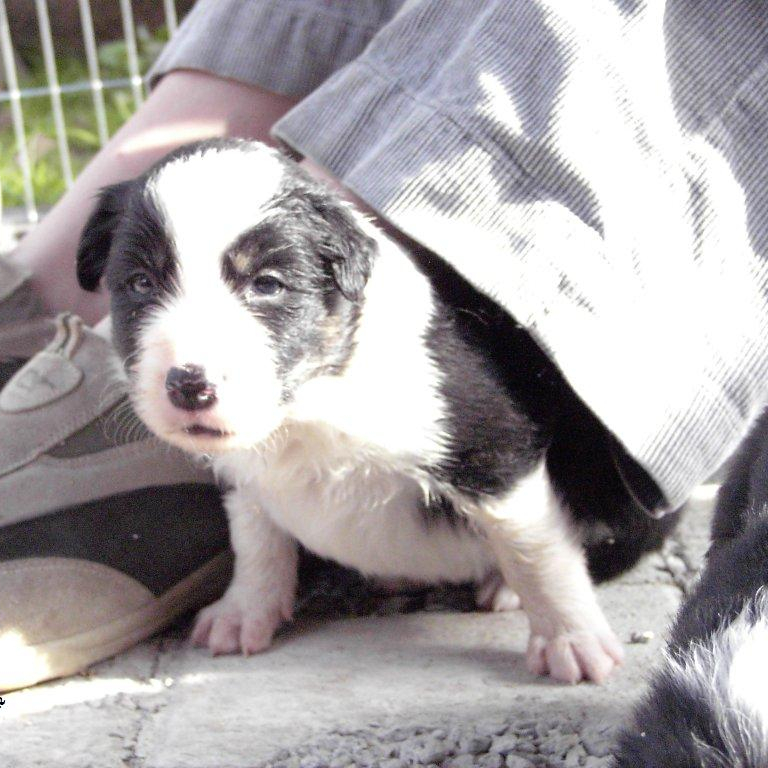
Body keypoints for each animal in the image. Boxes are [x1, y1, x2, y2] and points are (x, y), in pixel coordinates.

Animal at [76, 138, 678, 684]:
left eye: (267, 284)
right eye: (140, 282)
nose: (189, 385)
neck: (311, 404)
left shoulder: (493, 445)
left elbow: (534, 550)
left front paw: (571, 641)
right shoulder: (244, 473)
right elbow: (256, 537)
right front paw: (244, 613)